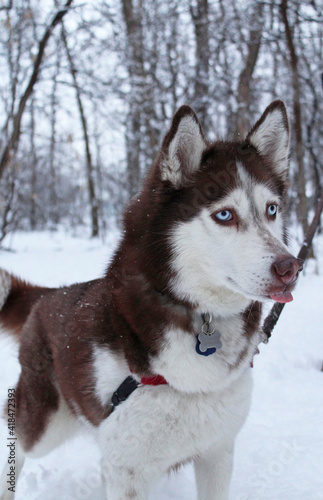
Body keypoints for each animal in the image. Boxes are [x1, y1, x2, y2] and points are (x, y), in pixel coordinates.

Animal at [0, 99, 304, 498]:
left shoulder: (217, 453)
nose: (291, 267)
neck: (199, 316)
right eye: (224, 214)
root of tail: (49, 295)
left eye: (271, 209)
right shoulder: (128, 471)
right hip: (46, 425)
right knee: (16, 434)